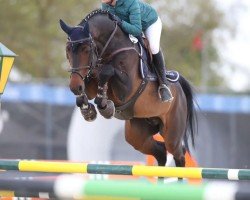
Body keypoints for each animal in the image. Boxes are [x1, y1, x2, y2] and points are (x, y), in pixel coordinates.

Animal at [60, 9, 197, 169]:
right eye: (67, 50)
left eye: (86, 49)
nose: (75, 86)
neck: (111, 48)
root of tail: (179, 88)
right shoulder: (90, 80)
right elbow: (90, 85)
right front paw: (87, 109)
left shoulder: (126, 89)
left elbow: (107, 71)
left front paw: (104, 106)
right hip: (138, 133)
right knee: (160, 151)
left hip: (172, 133)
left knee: (178, 154)